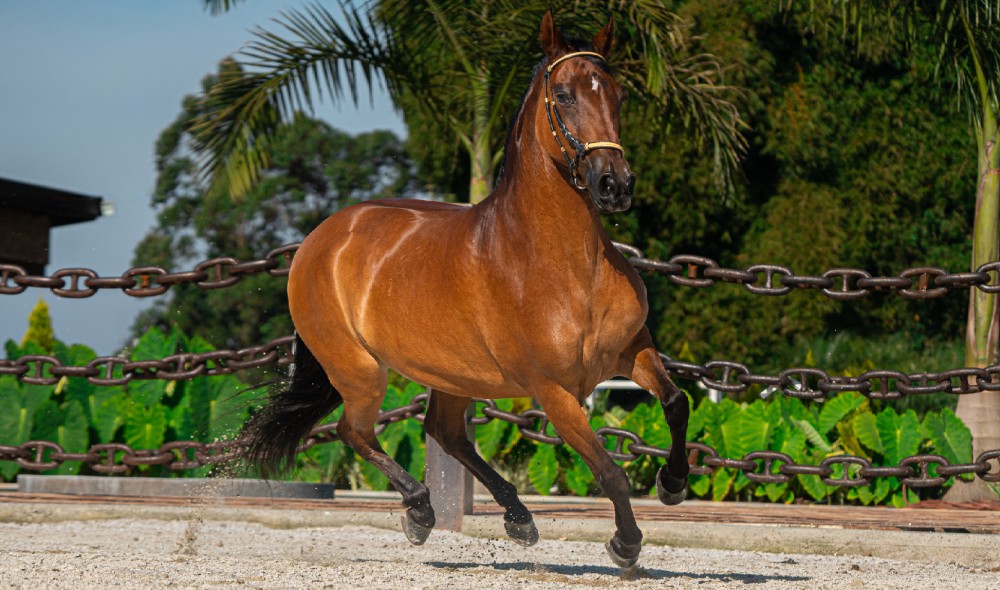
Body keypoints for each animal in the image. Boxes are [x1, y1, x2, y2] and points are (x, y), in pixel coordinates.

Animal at [241, 11, 690, 568]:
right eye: (564, 95)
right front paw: (625, 545)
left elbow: (677, 402)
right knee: (355, 431)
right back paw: (420, 511)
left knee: (445, 432)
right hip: (360, 370)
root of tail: (320, 239)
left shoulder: (632, 349)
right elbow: (610, 470)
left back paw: (516, 519)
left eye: (618, 94)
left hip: (453, 374)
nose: (616, 185)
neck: (566, 266)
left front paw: (673, 483)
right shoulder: (554, 391)